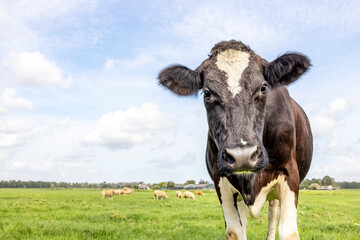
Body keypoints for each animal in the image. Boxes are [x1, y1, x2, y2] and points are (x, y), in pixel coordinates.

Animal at [158, 40, 312, 239]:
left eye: (263, 88)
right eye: (207, 93)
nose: (242, 156)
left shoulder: (289, 174)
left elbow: (288, 232)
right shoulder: (221, 180)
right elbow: (235, 231)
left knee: (272, 216)